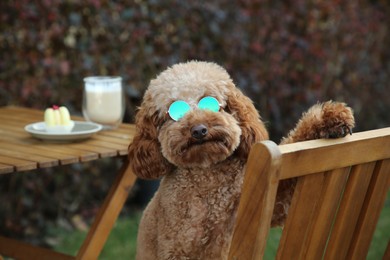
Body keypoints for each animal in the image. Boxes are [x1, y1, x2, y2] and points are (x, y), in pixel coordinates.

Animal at [128, 60, 354, 258]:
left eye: (210, 102)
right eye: (174, 112)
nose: (199, 130)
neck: (209, 178)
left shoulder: (269, 204)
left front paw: (332, 119)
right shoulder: (177, 248)